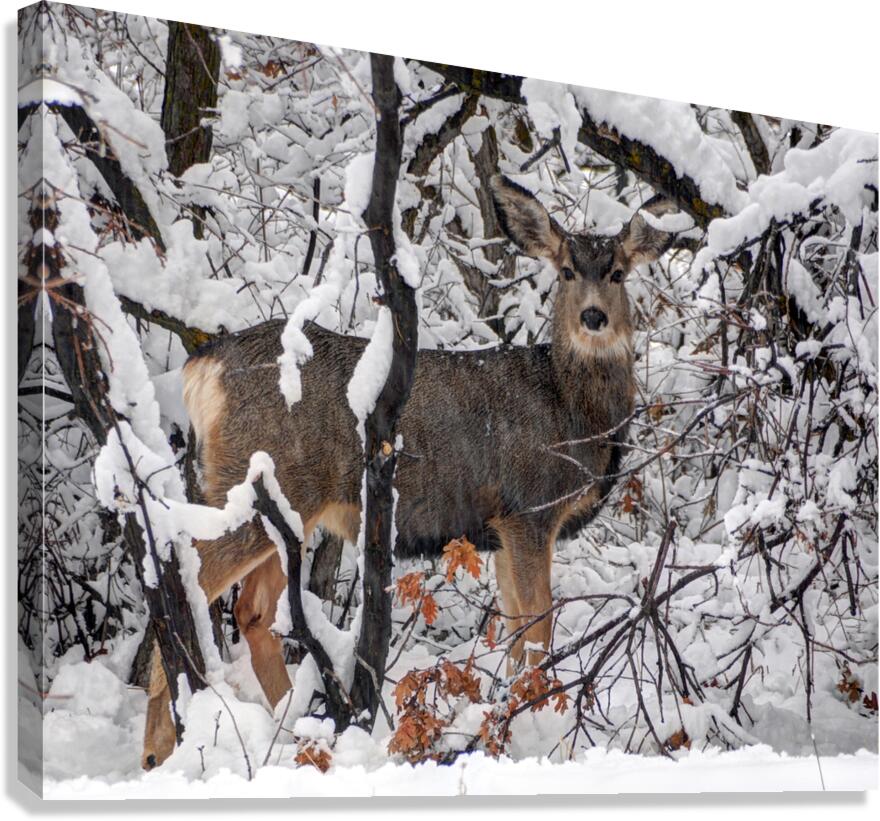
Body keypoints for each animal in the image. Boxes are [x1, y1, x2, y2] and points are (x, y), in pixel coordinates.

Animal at [141, 174, 674, 769]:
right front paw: (542, 735)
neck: (573, 414)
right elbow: (537, 632)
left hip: (288, 509)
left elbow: (516, 631)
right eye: (565, 272)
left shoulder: (501, 526)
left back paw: (296, 731)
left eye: (617, 272)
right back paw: (160, 750)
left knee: (254, 613)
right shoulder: (529, 509)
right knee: (179, 583)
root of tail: (200, 368)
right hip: (247, 488)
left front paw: (509, 723)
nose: (594, 318)